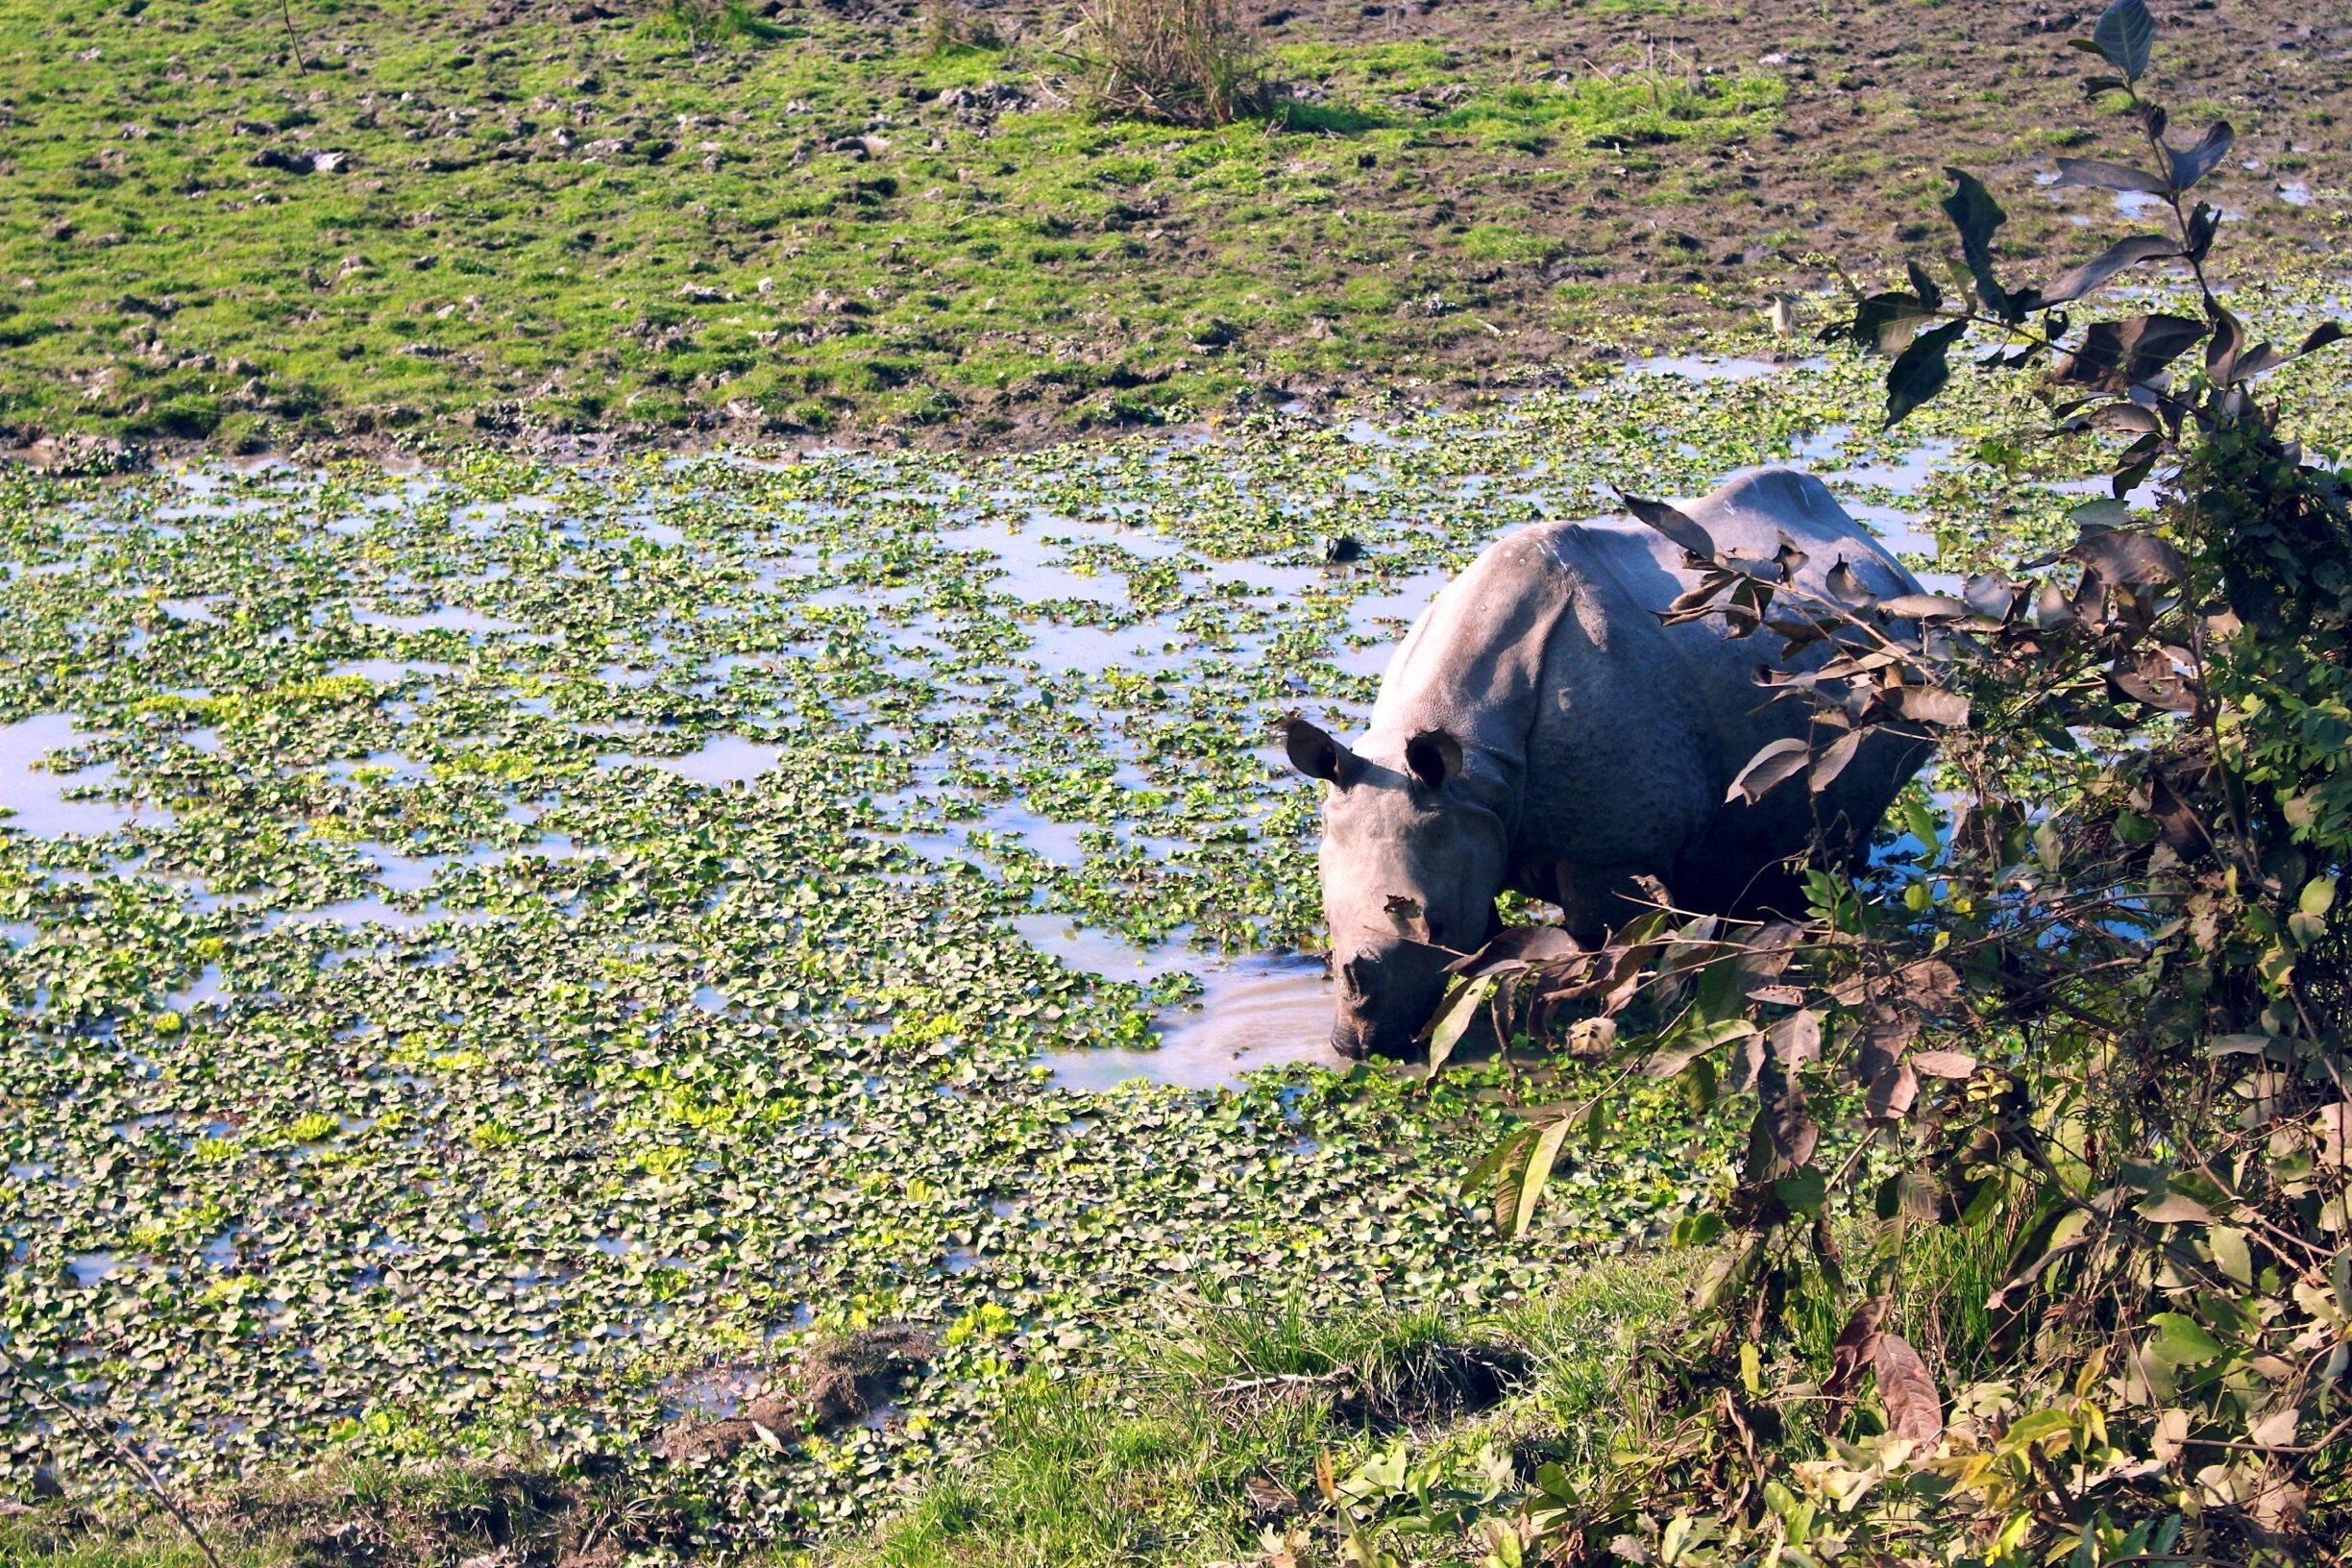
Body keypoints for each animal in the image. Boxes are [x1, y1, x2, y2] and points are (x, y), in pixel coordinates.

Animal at [1284, 468, 1931, 1060]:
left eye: (1435, 925)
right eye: (1328, 920)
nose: (1357, 1047)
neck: (1472, 763)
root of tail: (1877, 550)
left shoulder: (1609, 850)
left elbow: (1604, 938)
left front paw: (1589, 1013)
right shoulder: (1466, 819)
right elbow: (1487, 931)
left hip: (1892, 668)